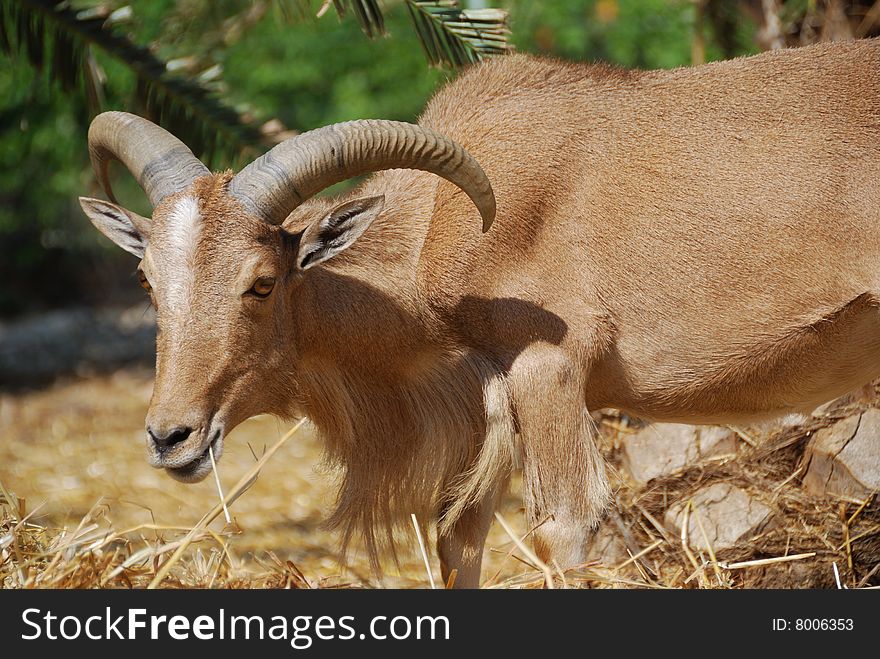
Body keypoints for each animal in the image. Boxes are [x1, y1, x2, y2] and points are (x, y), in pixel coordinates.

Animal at [81, 40, 880, 588]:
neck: (442, 230)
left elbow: (564, 528)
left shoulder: (547, 368)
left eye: (263, 282)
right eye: (149, 280)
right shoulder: (483, 412)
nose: (171, 436)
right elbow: (458, 542)